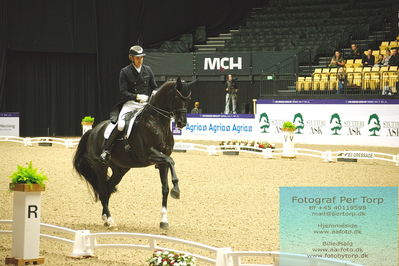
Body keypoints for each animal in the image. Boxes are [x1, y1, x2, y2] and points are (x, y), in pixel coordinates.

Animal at [75, 77, 194, 229]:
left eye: (188, 99)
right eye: (177, 97)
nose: (181, 123)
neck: (157, 122)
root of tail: (92, 131)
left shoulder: (162, 161)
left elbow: (165, 188)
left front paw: (164, 220)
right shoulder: (148, 155)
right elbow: (171, 161)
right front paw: (176, 190)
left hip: (120, 169)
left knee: (108, 188)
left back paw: (105, 219)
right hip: (100, 166)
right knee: (102, 190)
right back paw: (111, 221)